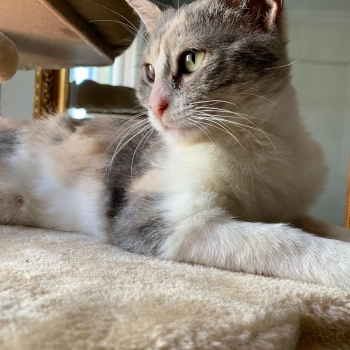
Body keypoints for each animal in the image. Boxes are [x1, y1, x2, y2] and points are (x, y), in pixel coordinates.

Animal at [0, 0, 350, 290]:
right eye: (149, 72)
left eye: (192, 60)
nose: (156, 106)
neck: (253, 136)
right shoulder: (152, 218)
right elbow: (275, 239)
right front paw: (340, 261)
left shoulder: (288, 199)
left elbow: (314, 222)